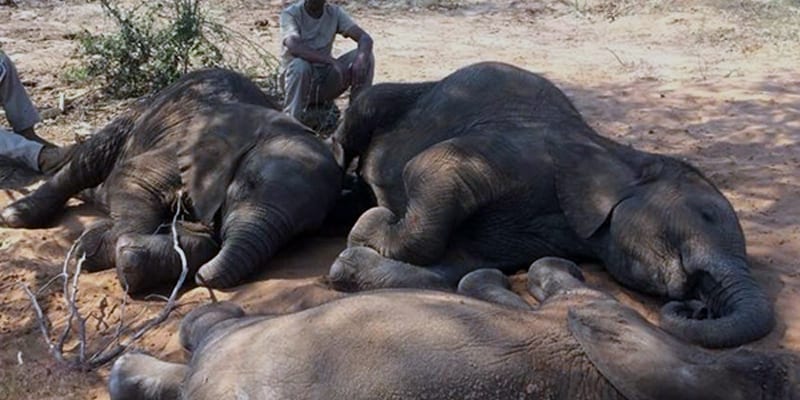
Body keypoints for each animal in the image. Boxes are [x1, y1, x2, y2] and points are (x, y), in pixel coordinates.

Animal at [0, 69, 342, 292]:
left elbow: (205, 239)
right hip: (138, 114)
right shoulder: (181, 150)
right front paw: (97, 248)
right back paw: (17, 215)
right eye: (248, 186)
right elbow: (134, 178)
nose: (203, 278)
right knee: (89, 161)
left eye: (302, 233)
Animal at [326, 61, 774, 348]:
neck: (618, 155)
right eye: (706, 215)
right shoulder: (524, 153)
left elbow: (458, 263)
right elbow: (430, 167)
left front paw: (352, 258)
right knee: (362, 114)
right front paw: (370, 224)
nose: (698, 309)